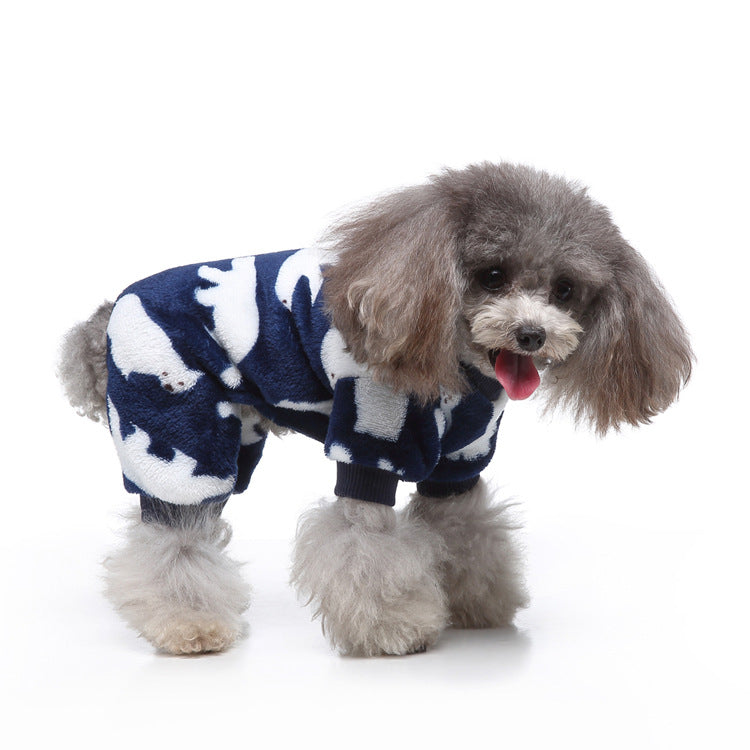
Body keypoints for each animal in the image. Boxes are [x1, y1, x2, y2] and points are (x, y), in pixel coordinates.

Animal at [58, 163, 692, 656]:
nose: (532, 334)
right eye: (492, 275)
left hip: (234, 438)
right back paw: (190, 624)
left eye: (565, 290)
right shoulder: (373, 440)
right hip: (178, 430)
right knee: (174, 534)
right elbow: (366, 546)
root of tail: (112, 309)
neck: (457, 368)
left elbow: (469, 530)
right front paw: (394, 627)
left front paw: (477, 603)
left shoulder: (460, 461)